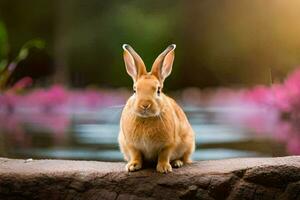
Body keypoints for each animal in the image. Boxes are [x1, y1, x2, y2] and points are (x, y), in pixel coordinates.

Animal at [118, 44, 196, 173]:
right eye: (134, 90)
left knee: (184, 158)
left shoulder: (169, 144)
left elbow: (164, 155)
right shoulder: (131, 145)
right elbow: (136, 154)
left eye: (158, 90)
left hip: (188, 143)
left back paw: (177, 163)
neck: (146, 118)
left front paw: (164, 168)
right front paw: (132, 166)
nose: (145, 105)